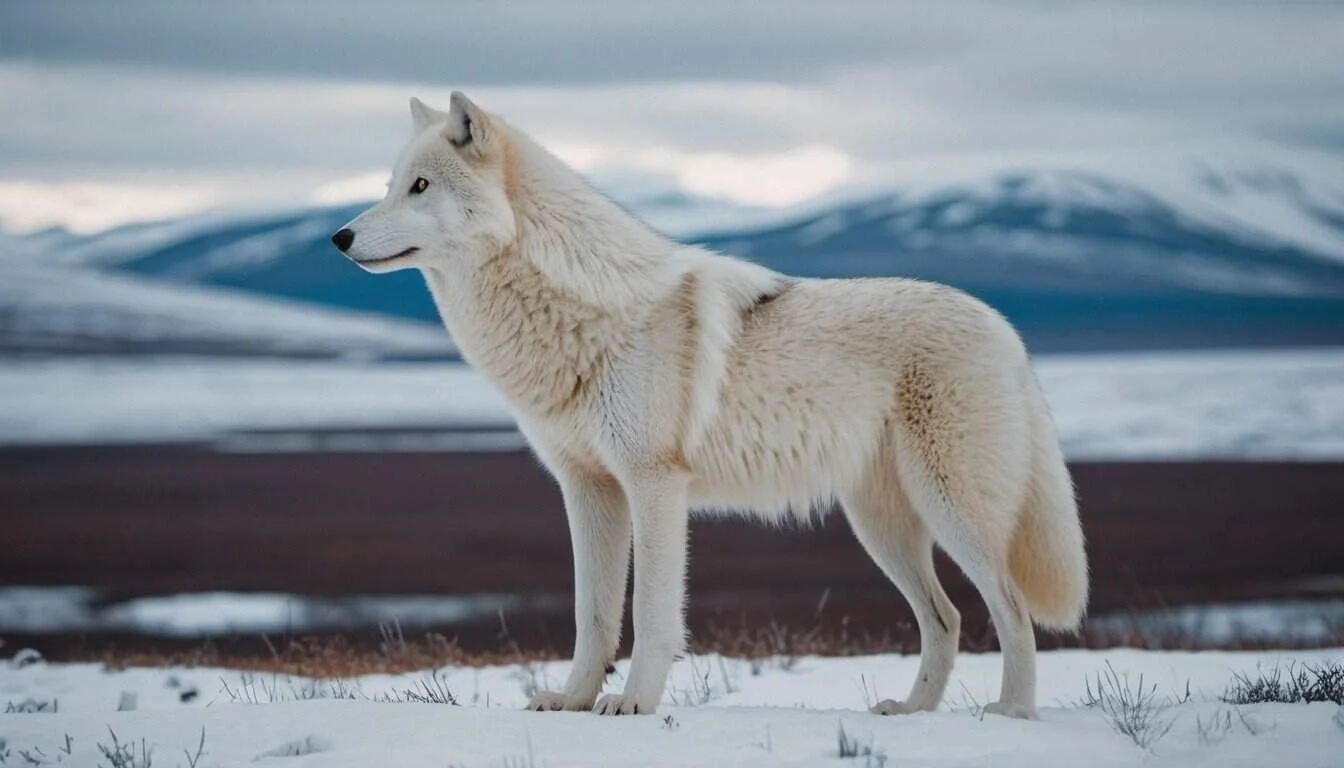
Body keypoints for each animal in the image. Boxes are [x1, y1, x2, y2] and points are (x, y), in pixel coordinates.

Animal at [332, 92, 1088, 718]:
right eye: (390, 185)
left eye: (420, 186)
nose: (339, 237)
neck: (578, 311)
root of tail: (1006, 329)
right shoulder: (587, 489)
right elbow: (592, 616)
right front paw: (573, 702)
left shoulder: (654, 485)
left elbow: (651, 614)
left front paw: (632, 705)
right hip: (881, 528)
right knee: (948, 619)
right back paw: (912, 713)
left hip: (952, 511)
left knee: (1012, 610)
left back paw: (1011, 714)